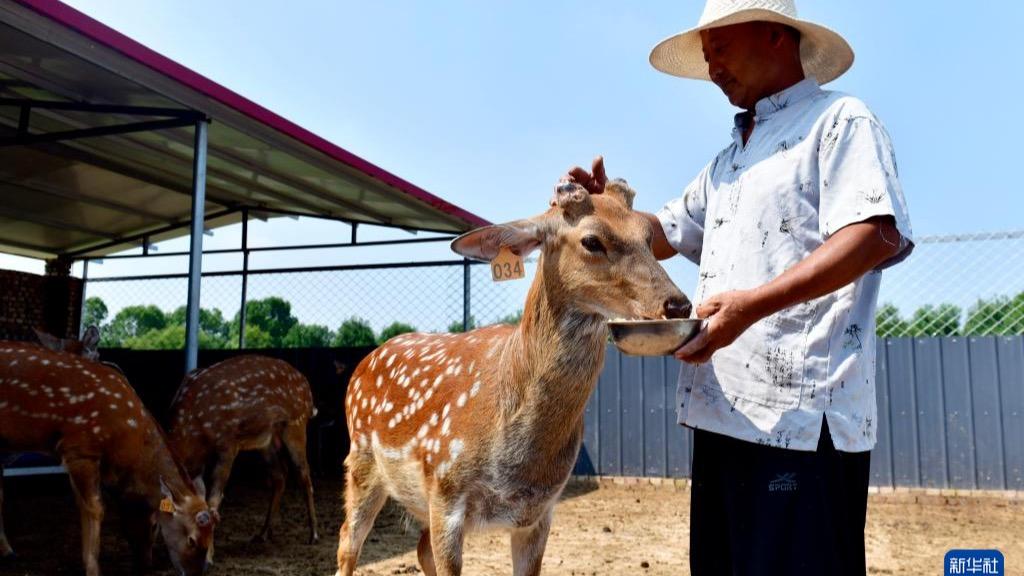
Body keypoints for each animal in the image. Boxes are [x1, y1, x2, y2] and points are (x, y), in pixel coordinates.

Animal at [0, 340, 216, 573]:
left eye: (156, 526)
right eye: (192, 540)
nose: (145, 564)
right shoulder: (79, 448)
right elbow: (95, 509)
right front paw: (93, 569)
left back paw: (8, 550)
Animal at [165, 352, 317, 553]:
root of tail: (308, 390)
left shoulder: (228, 443)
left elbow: (214, 499)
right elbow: (201, 496)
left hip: (295, 422)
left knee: (304, 474)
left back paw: (313, 534)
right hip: (266, 439)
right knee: (280, 475)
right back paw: (262, 534)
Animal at [333, 180, 688, 573]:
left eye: (648, 235)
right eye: (591, 240)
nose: (678, 304)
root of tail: (366, 360)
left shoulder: (539, 511)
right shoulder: (445, 491)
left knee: (419, 547)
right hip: (362, 460)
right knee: (347, 542)